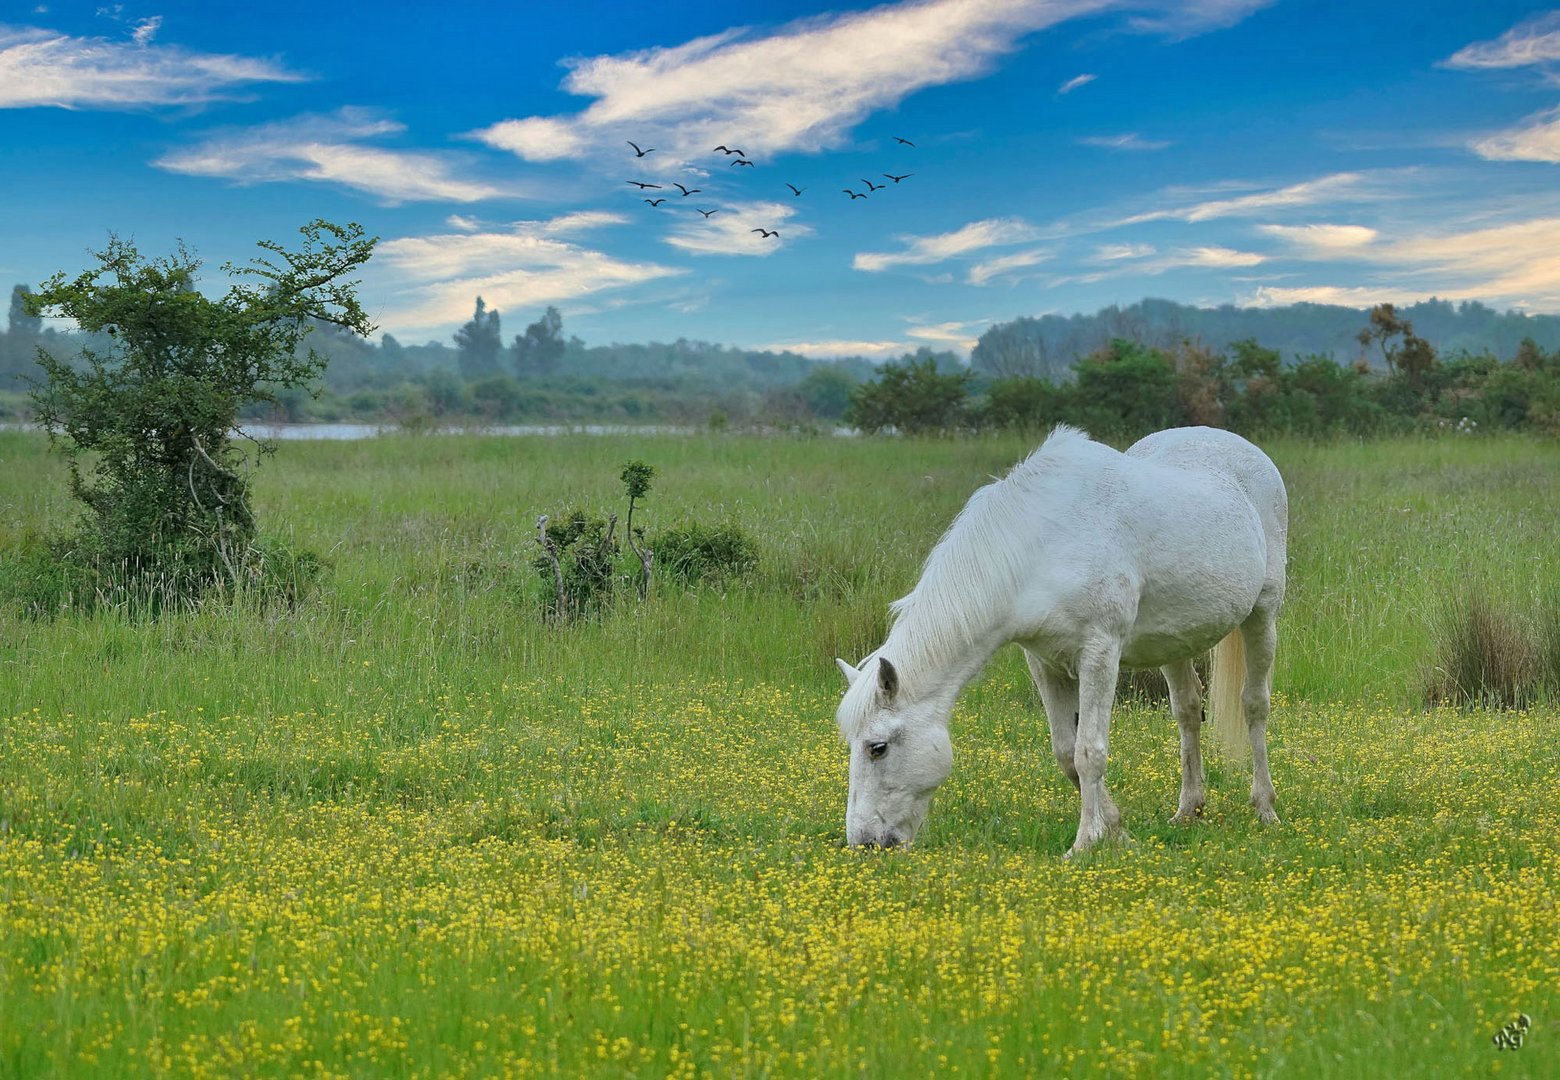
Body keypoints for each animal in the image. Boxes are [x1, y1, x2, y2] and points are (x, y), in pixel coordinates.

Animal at [836, 427, 1285, 855]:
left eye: (877, 748)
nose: (864, 842)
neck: (1045, 544)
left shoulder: (1100, 654)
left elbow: (1090, 752)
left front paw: (1084, 843)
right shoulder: (1045, 663)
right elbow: (1067, 754)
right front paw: (1116, 831)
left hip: (1263, 614)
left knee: (1254, 705)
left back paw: (1265, 807)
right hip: (1175, 642)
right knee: (1188, 711)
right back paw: (1189, 809)